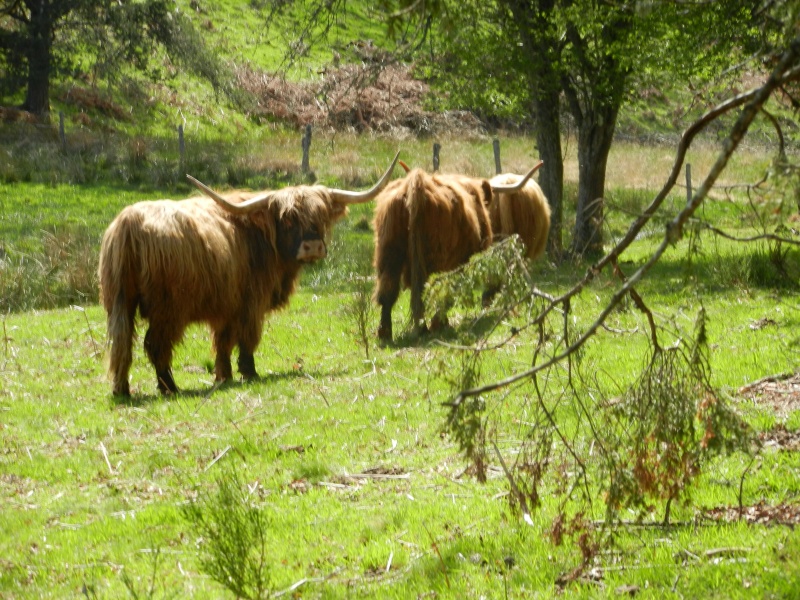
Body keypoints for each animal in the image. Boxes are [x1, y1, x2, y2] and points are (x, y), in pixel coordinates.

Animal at [99, 155, 400, 396]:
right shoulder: (251, 301)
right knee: (155, 344)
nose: (313, 246)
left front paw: (224, 376)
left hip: (119, 302)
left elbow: (222, 342)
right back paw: (169, 388)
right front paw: (249, 372)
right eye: (288, 219)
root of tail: (129, 224)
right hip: (168, 309)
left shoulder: (226, 305)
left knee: (122, 342)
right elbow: (246, 338)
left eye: (322, 216)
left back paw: (122, 390)